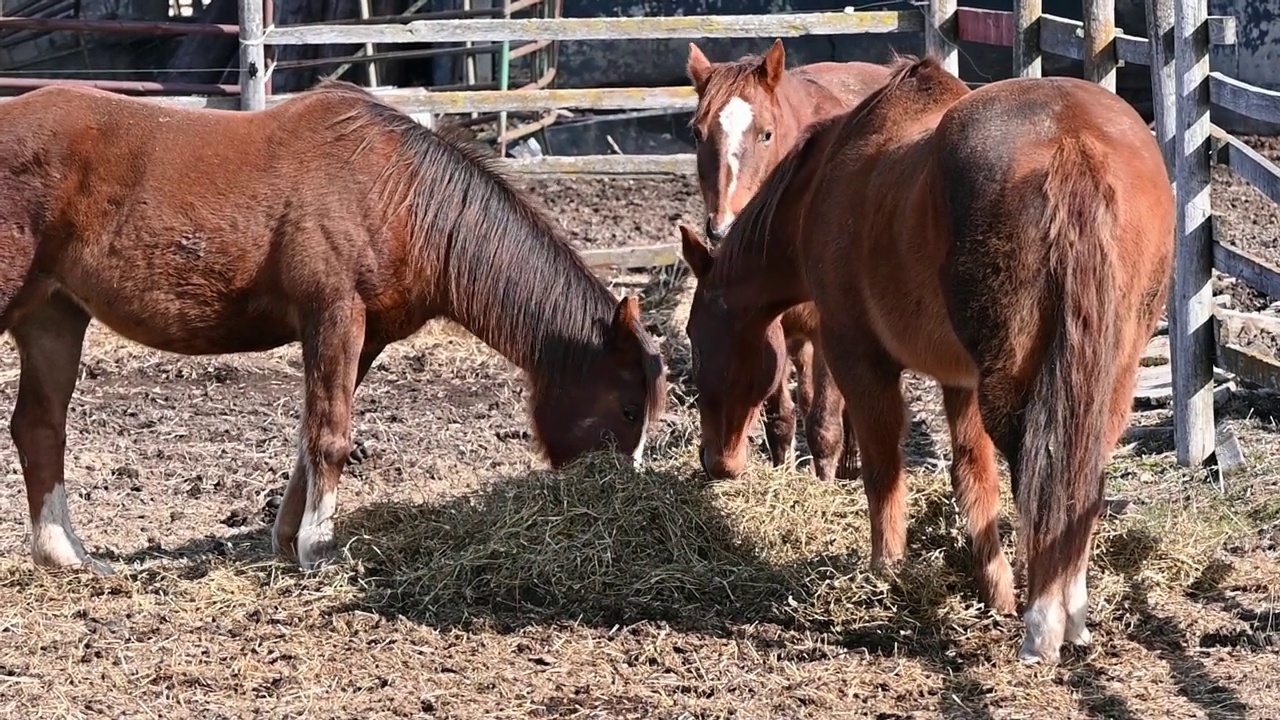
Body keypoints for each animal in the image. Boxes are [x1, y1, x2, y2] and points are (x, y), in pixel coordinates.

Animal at [2, 78, 670, 571]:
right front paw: (318, 548)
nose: (626, 498)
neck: (400, 197)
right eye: (628, 409)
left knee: (39, 427)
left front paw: (286, 539)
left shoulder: (363, 338)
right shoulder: (334, 316)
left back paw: (67, 555)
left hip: (53, 319)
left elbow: (312, 434)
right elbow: (330, 437)